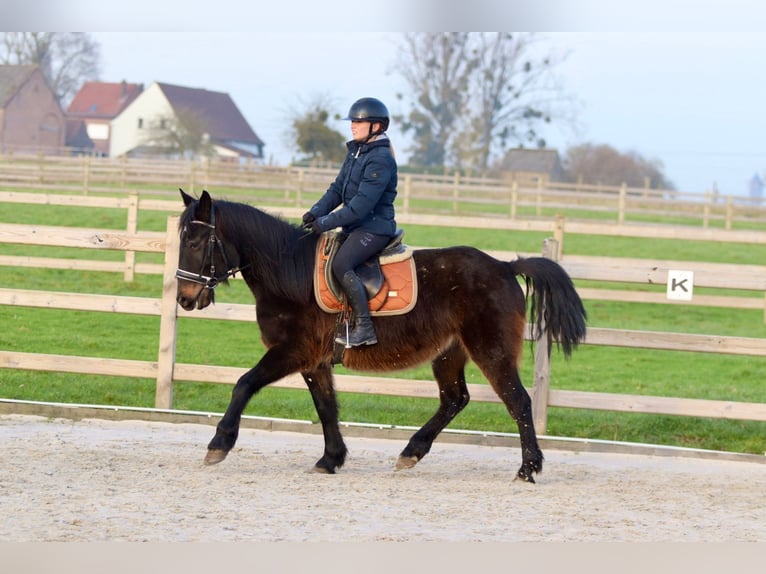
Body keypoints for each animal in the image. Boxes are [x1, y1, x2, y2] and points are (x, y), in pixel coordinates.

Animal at [176, 191, 588, 484]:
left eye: (195, 244)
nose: (185, 298)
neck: (289, 273)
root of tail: (504, 267)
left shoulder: (292, 351)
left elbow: (244, 384)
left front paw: (219, 444)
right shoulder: (315, 360)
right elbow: (326, 407)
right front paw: (331, 459)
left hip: (492, 350)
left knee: (518, 401)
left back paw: (527, 469)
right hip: (449, 353)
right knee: (454, 399)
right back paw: (412, 452)